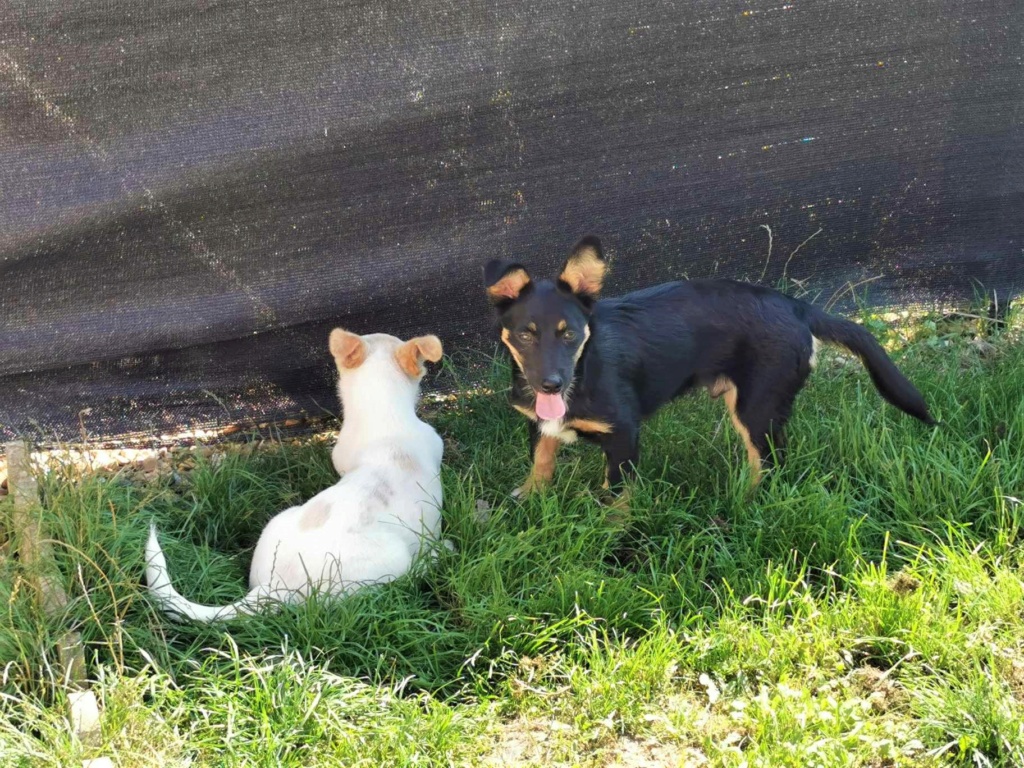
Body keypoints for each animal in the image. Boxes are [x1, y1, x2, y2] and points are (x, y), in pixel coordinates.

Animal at [483, 237, 937, 501]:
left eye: (570, 334)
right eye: (525, 335)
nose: (550, 384)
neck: (582, 371)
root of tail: (798, 307)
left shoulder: (624, 438)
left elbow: (615, 499)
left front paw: (608, 540)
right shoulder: (540, 425)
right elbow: (541, 462)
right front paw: (529, 499)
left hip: (757, 408)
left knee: (770, 462)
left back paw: (745, 502)